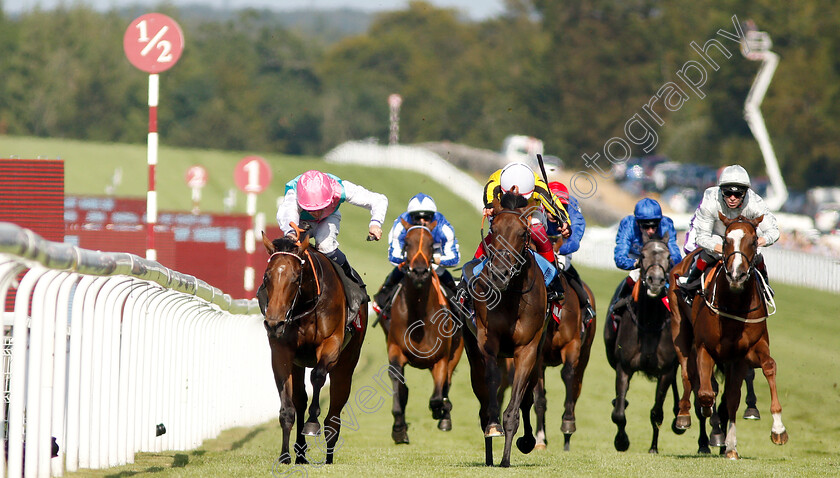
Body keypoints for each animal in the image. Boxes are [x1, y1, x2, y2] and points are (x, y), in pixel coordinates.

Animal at [262, 230, 368, 464]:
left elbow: (318, 376)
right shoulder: (282, 351)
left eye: (295, 278)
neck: (305, 306)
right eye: (266, 277)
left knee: (334, 413)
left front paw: (312, 423)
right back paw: (300, 453)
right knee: (300, 399)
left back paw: (328, 456)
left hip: (346, 364)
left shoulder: (331, 344)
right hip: (298, 363)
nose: (274, 323)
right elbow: (289, 406)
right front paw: (284, 456)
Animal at [380, 218, 466, 442]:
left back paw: (444, 417)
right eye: (407, 242)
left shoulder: (442, 358)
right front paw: (399, 429)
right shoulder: (395, 350)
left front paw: (440, 411)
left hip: (456, 353)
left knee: (446, 384)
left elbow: (437, 395)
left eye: (430, 244)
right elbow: (398, 385)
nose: (419, 271)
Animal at [462, 192, 548, 464]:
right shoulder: (488, 343)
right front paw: (493, 427)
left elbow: (518, 403)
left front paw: (508, 456)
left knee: (529, 396)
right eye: (494, 229)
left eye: (522, 232)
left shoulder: (528, 350)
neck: (510, 298)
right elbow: (492, 387)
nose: (500, 274)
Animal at [608, 233, 684, 454]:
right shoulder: (623, 367)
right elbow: (619, 413)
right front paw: (621, 441)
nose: (656, 281)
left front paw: (653, 448)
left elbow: (657, 413)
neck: (650, 321)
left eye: (668, 256)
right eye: (642, 255)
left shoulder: (666, 371)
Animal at [668, 214, 788, 460]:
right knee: (687, 373)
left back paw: (729, 445)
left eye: (754, 241)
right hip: (679, 327)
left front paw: (778, 429)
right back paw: (685, 415)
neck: (734, 303)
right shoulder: (705, 348)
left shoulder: (747, 352)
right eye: (725, 241)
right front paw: (708, 415)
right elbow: (706, 392)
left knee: (730, 397)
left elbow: (768, 368)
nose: (736, 274)